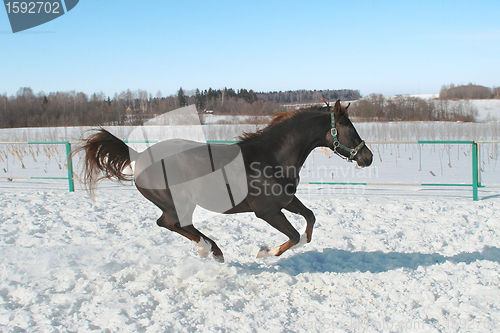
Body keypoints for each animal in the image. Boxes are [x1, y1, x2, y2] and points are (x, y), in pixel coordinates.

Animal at [77, 98, 372, 262]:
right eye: (349, 128)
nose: (367, 157)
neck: (271, 157)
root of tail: (138, 156)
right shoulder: (267, 211)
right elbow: (294, 235)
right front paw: (265, 254)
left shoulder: (287, 201)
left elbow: (308, 221)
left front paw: (276, 249)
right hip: (175, 202)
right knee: (169, 223)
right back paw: (208, 249)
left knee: (179, 225)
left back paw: (212, 250)